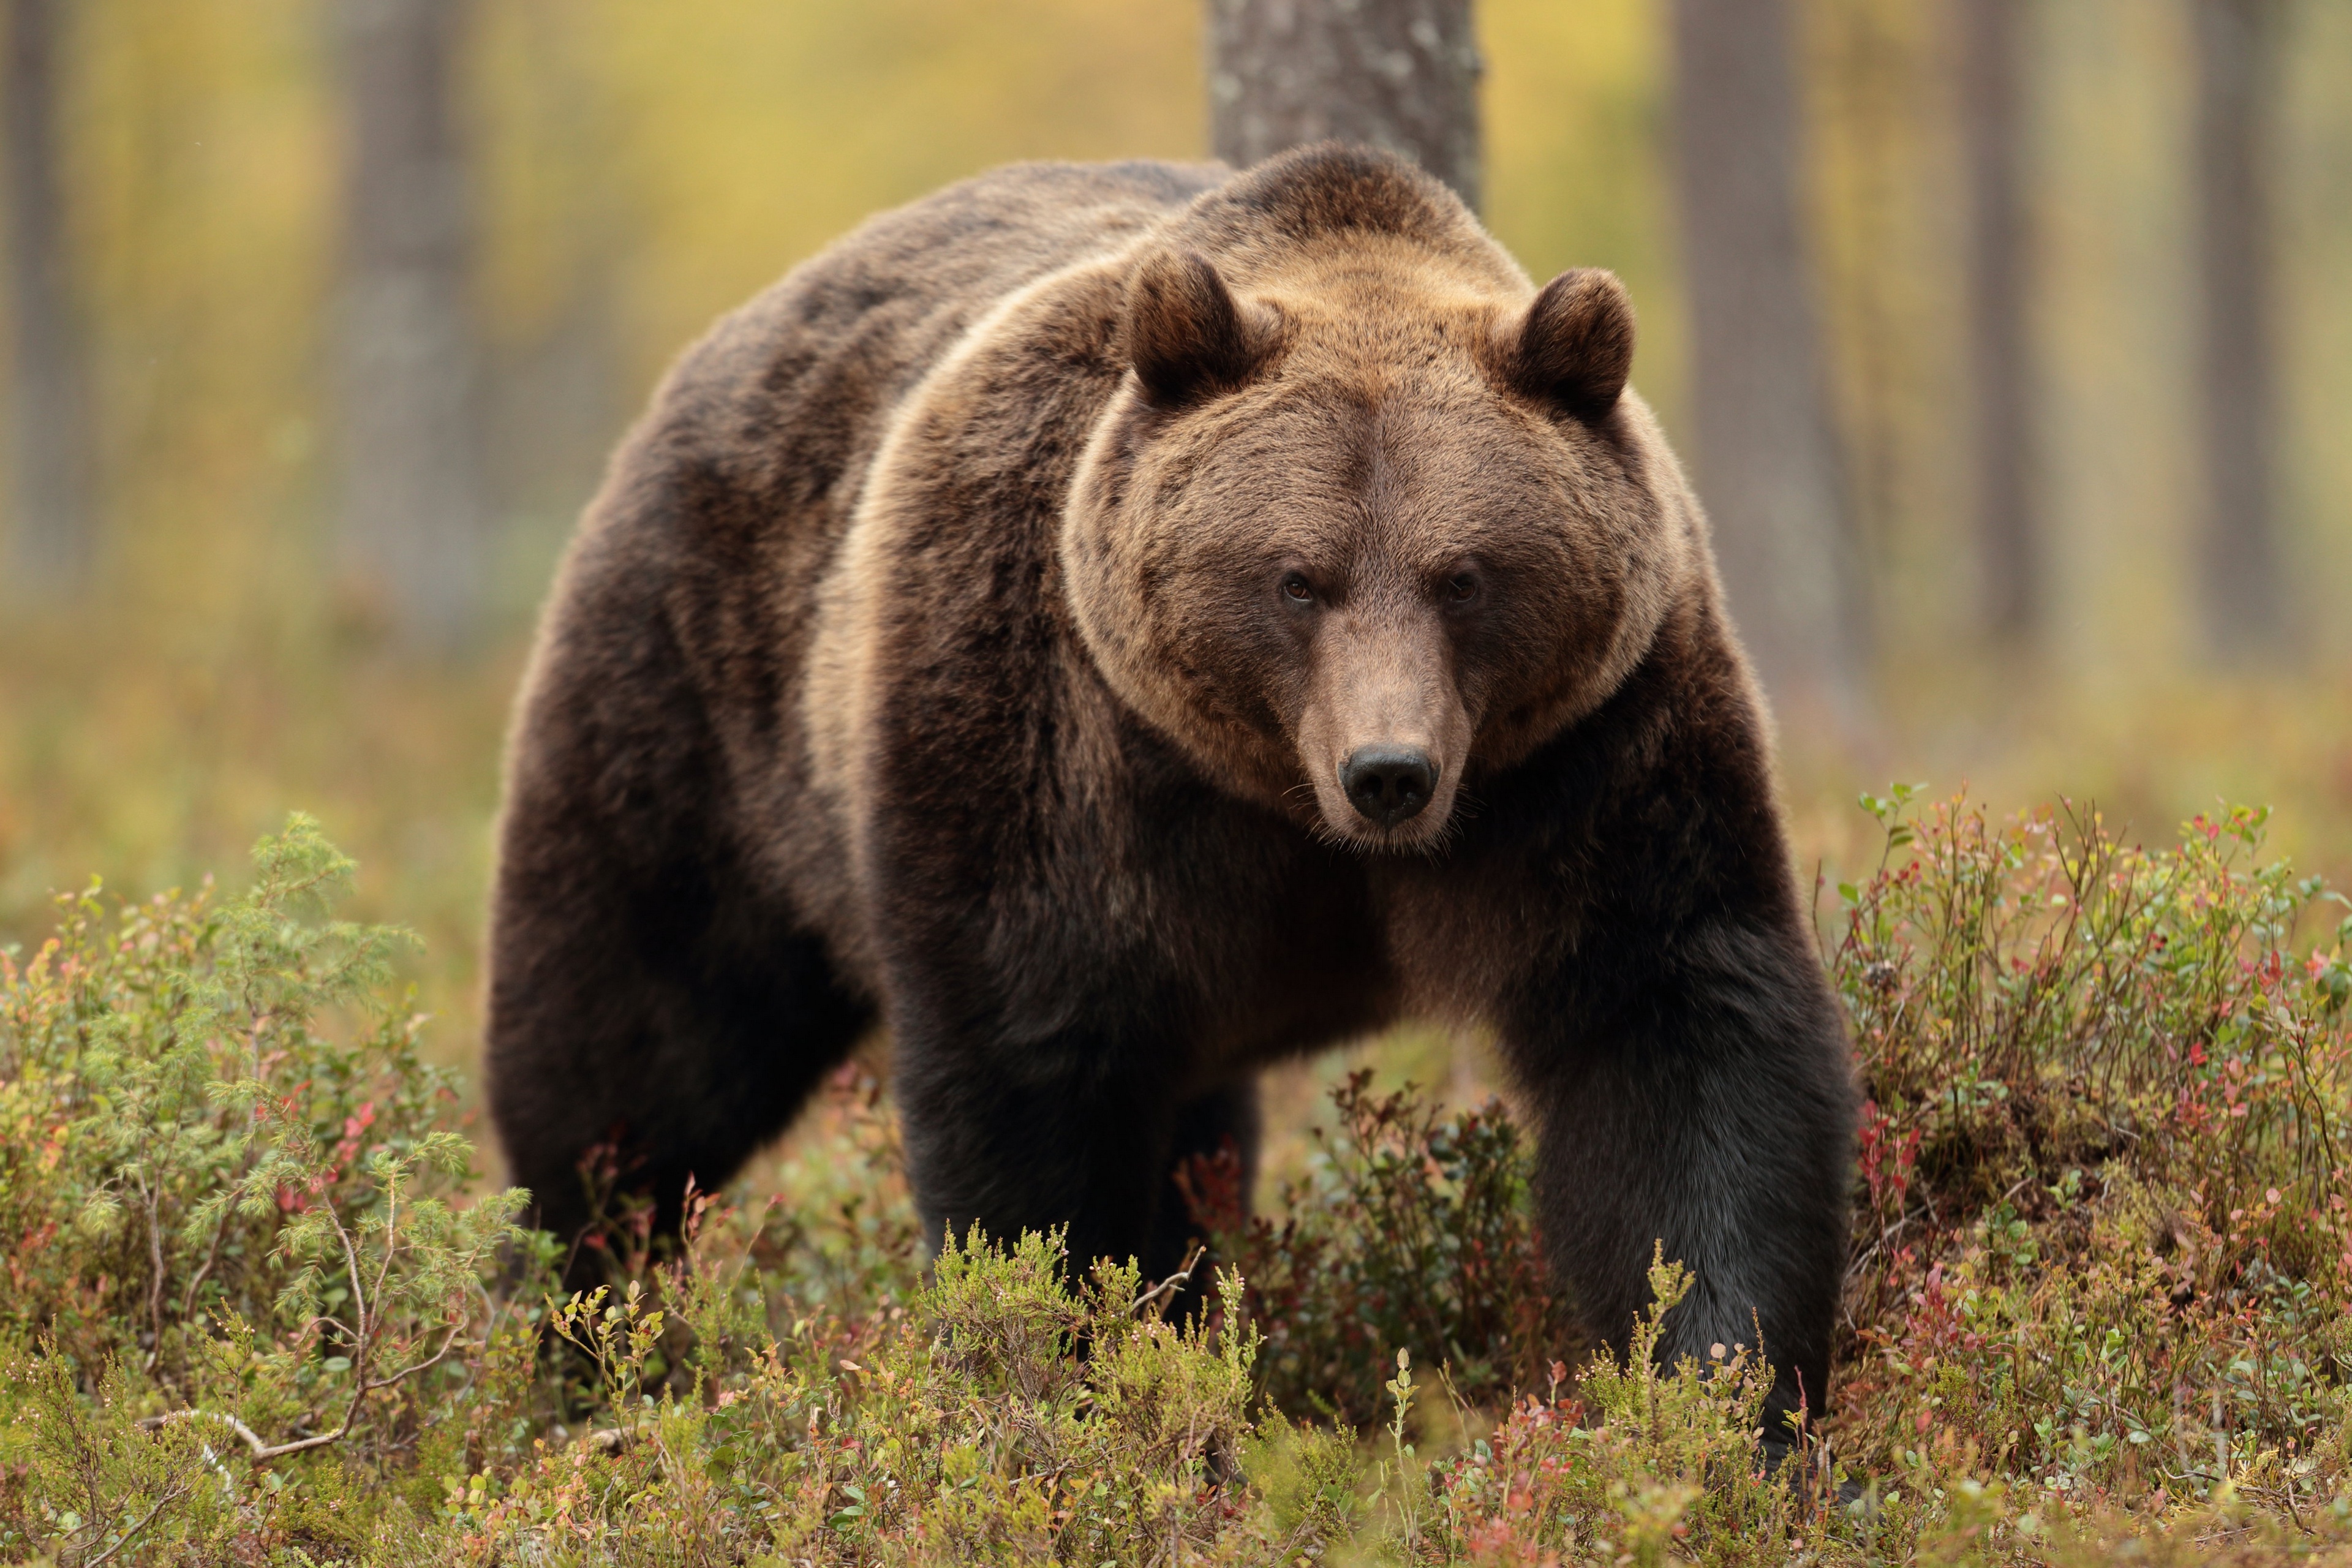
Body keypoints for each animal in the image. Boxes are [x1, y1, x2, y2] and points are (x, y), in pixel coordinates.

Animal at [485, 143, 1856, 1451]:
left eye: (1465, 574)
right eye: (1298, 576)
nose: (1390, 772)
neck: (1283, 803)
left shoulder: (1596, 749)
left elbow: (1673, 1038)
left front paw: (1723, 1399)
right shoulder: (1051, 739)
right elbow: (1031, 1086)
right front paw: (1072, 1386)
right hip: (701, 709)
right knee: (634, 1053)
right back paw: (571, 1337)